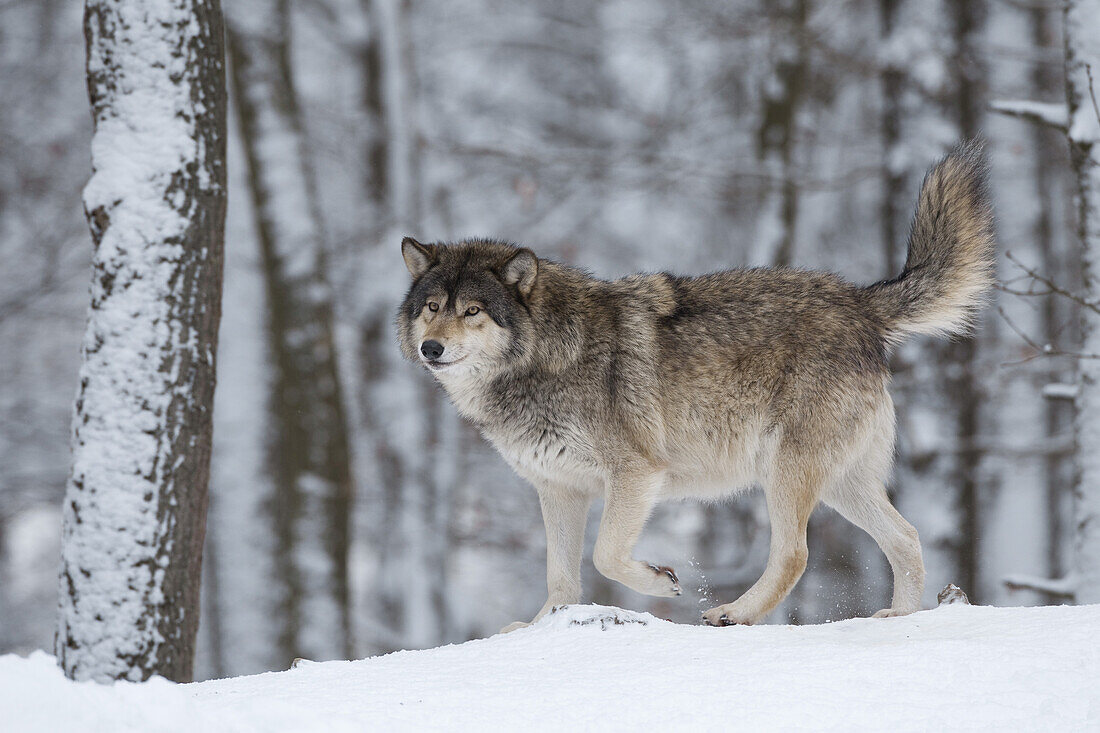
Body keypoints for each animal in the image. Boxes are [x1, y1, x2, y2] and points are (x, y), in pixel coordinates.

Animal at [398, 143, 998, 629]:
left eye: (472, 311)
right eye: (432, 308)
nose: (431, 349)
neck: (544, 359)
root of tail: (859, 301)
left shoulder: (636, 474)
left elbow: (605, 555)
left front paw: (661, 583)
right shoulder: (559, 489)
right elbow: (561, 576)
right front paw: (540, 626)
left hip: (785, 472)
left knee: (796, 554)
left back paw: (735, 613)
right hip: (841, 483)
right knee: (906, 538)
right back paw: (899, 617)